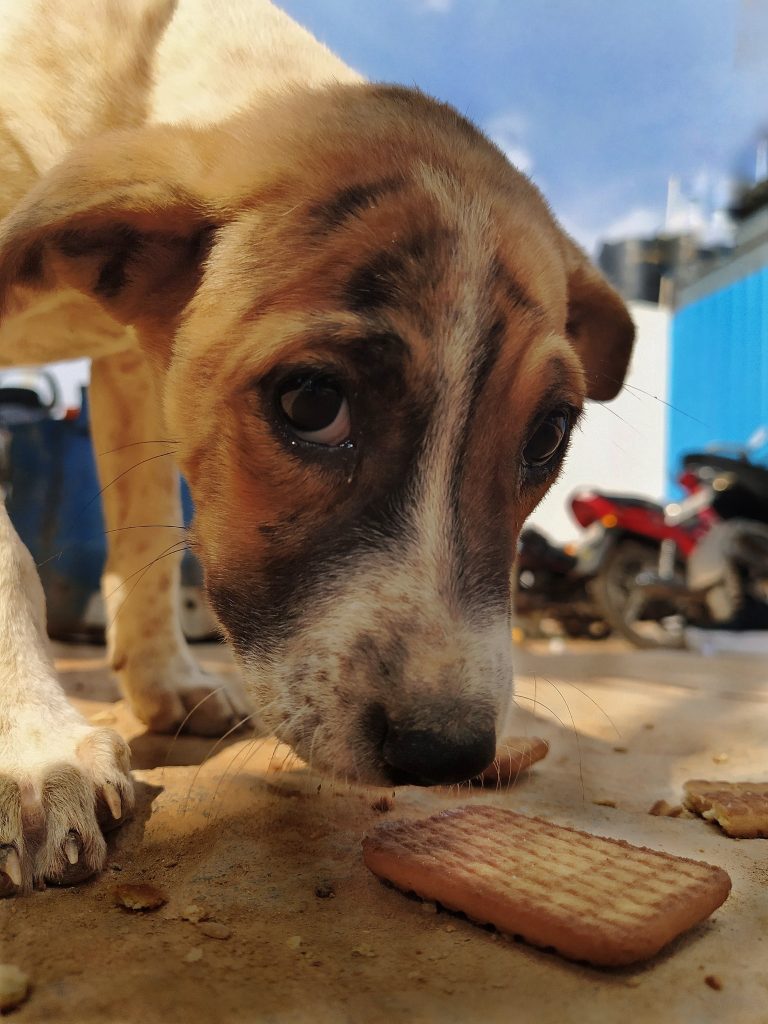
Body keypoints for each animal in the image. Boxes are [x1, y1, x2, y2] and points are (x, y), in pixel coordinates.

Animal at [0, 0, 634, 897]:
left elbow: (148, 545)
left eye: (547, 436)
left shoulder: (134, 368)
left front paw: (164, 681)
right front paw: (36, 749)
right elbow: (8, 555)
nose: (445, 753)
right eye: (311, 401)